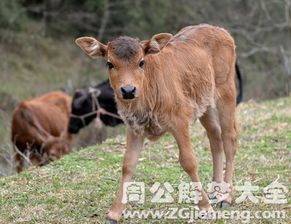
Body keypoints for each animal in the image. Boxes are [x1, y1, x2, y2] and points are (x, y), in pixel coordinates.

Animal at [76, 23, 238, 223]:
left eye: (141, 62)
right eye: (109, 63)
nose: (128, 90)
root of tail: (220, 30)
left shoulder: (179, 120)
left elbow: (189, 161)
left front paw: (205, 207)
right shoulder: (134, 127)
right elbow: (128, 165)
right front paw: (114, 212)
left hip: (226, 91)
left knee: (229, 138)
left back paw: (227, 197)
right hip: (205, 103)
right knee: (215, 137)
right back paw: (216, 191)